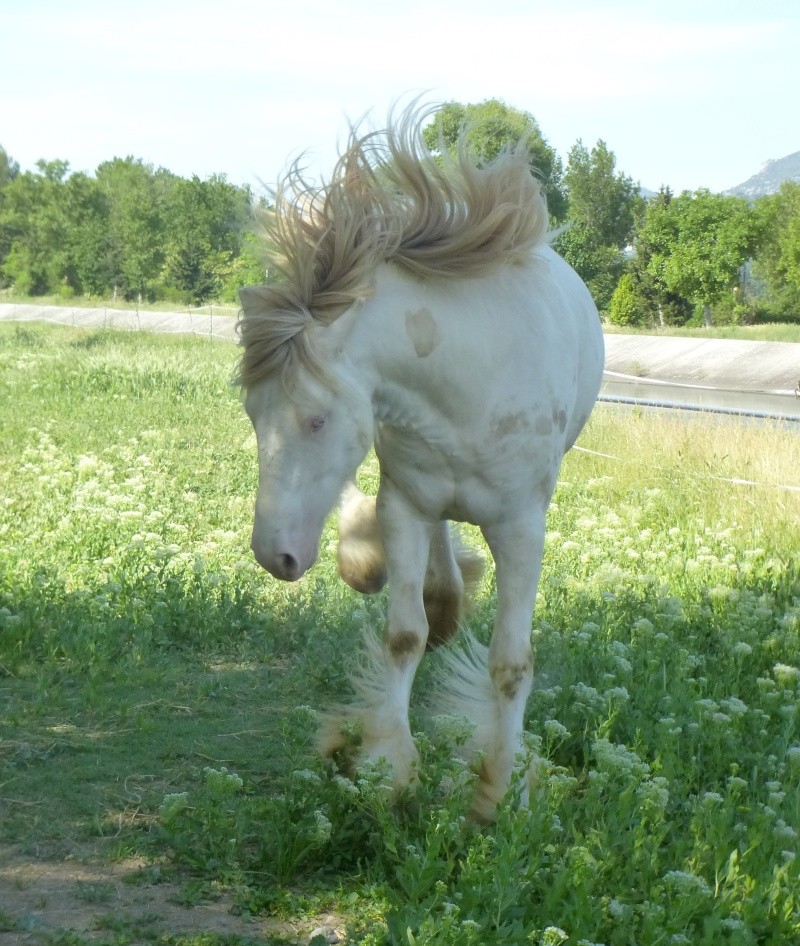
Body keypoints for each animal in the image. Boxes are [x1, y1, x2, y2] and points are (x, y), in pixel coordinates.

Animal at [234, 105, 604, 820]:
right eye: (251, 413)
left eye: (316, 418)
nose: (275, 556)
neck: (465, 382)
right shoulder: (402, 505)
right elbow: (403, 635)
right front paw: (387, 770)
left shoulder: (522, 530)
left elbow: (510, 664)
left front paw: (499, 789)